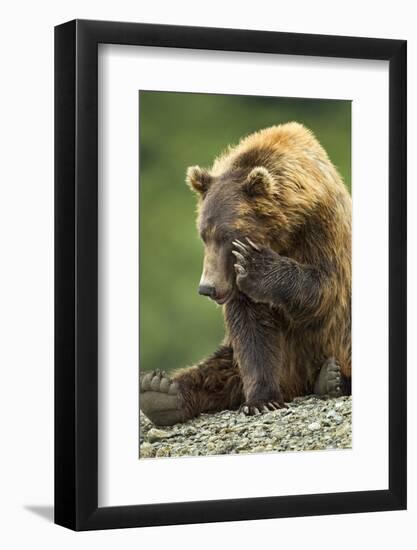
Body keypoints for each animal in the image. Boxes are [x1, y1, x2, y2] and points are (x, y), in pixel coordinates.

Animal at [140, 124, 352, 426]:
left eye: (228, 236)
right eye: (203, 234)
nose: (207, 288)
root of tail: (298, 384)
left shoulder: (323, 230)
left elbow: (324, 286)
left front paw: (256, 264)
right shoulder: (235, 286)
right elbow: (251, 330)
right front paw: (261, 400)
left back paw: (332, 379)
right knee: (221, 367)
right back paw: (160, 392)